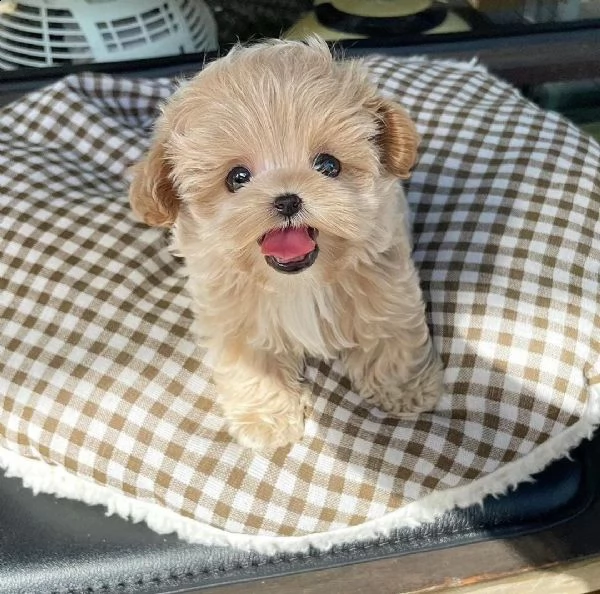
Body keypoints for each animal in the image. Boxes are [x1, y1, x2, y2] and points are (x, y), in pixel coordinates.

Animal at [129, 37, 442, 448]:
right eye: (237, 177)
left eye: (328, 165)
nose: (288, 199)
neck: (298, 283)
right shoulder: (232, 317)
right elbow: (250, 364)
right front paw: (266, 419)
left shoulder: (385, 285)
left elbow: (390, 333)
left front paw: (404, 390)